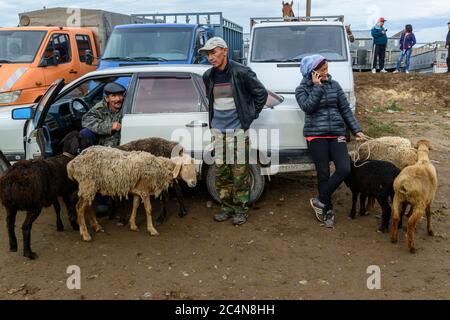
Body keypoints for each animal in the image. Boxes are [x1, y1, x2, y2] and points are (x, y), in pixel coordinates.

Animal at [66, 145, 196, 240]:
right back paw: (85, 234)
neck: (158, 167)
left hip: (91, 186)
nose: (194, 182)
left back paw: (97, 227)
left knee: (87, 206)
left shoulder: (138, 190)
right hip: (87, 183)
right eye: (185, 165)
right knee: (79, 207)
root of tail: (73, 162)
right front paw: (152, 229)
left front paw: (133, 225)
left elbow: (136, 206)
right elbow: (149, 209)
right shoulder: (144, 190)